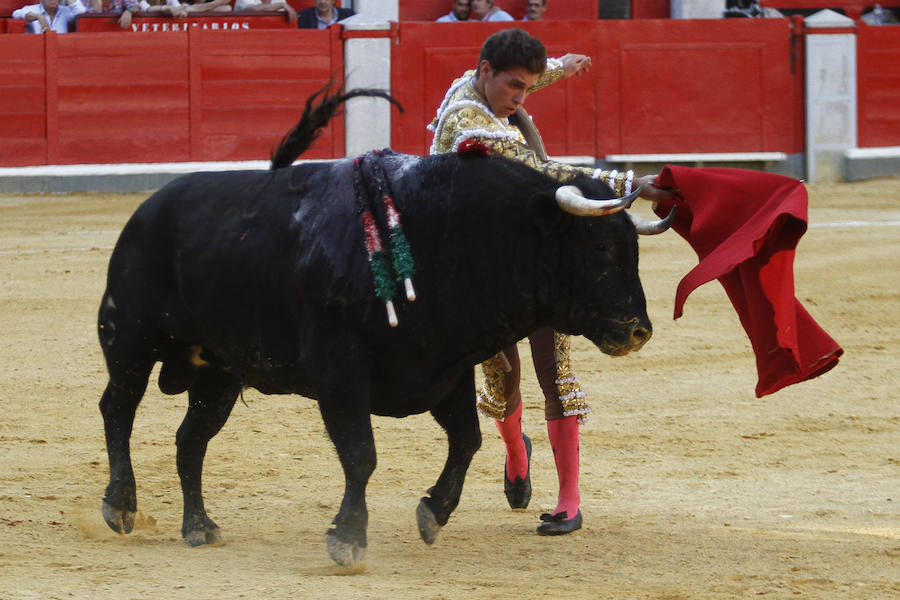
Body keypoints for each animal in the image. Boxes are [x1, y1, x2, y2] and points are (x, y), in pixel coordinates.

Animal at [98, 94, 660, 568]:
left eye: (631, 246)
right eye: (599, 247)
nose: (639, 331)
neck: (456, 233)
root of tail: (147, 212)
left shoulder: (445, 366)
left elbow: (467, 440)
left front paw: (433, 514)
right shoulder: (339, 371)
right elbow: (361, 454)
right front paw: (347, 539)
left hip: (219, 369)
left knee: (190, 438)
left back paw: (199, 526)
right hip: (130, 340)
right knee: (118, 408)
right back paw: (120, 507)